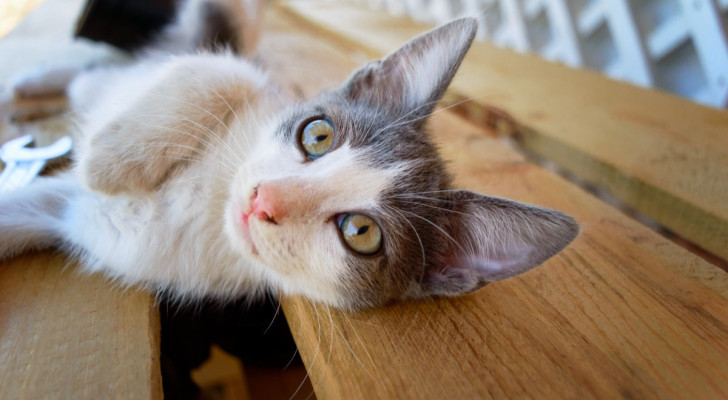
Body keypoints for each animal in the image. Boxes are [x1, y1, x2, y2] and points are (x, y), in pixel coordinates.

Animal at [0, 0, 580, 310]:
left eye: (361, 232)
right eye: (317, 135)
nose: (263, 200)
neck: (208, 209)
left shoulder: (81, 219)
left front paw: (102, 162)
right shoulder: (255, 83)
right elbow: (222, 68)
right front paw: (111, 159)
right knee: (111, 69)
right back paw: (31, 86)